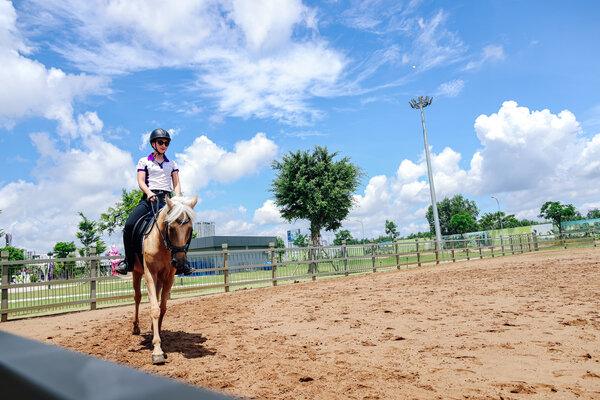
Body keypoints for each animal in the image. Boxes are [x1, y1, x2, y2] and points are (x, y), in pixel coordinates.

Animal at [131, 195, 197, 364]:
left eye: (190, 229)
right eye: (171, 228)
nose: (179, 263)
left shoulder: (168, 277)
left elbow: (163, 308)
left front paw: (157, 335)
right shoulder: (150, 274)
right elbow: (154, 309)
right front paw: (157, 350)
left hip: (160, 279)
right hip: (136, 272)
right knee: (137, 297)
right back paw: (135, 327)